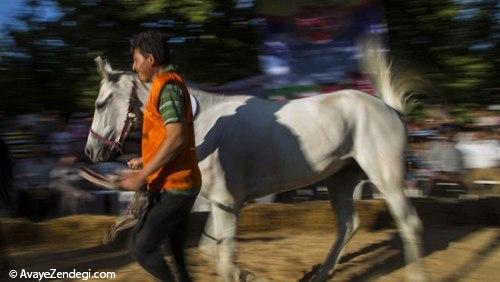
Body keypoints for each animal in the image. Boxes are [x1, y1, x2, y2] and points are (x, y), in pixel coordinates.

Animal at [85, 40, 426, 280]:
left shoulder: (226, 202)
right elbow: (210, 250)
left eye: (101, 103)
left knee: (409, 223)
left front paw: (247, 275)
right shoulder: (221, 203)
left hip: (385, 177)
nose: (91, 151)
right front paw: (248, 275)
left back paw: (415, 275)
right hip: (340, 178)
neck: (204, 123)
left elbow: (223, 261)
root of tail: (391, 110)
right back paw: (319, 274)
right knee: (348, 224)